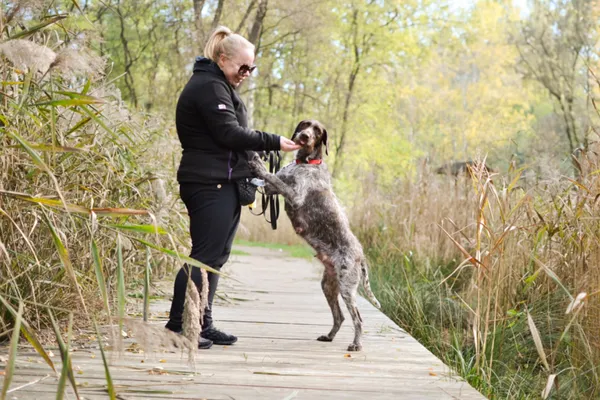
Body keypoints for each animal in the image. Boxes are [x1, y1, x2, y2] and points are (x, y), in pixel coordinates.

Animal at [247, 119, 380, 350]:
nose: (305, 136)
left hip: (347, 288)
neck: (306, 162)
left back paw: (356, 344)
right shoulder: (272, 191)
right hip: (328, 285)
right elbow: (272, 181)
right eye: (305, 124)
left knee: (358, 319)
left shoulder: (294, 195)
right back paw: (329, 336)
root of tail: (361, 255)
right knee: (339, 316)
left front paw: (258, 164)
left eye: (317, 131)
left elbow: (271, 176)